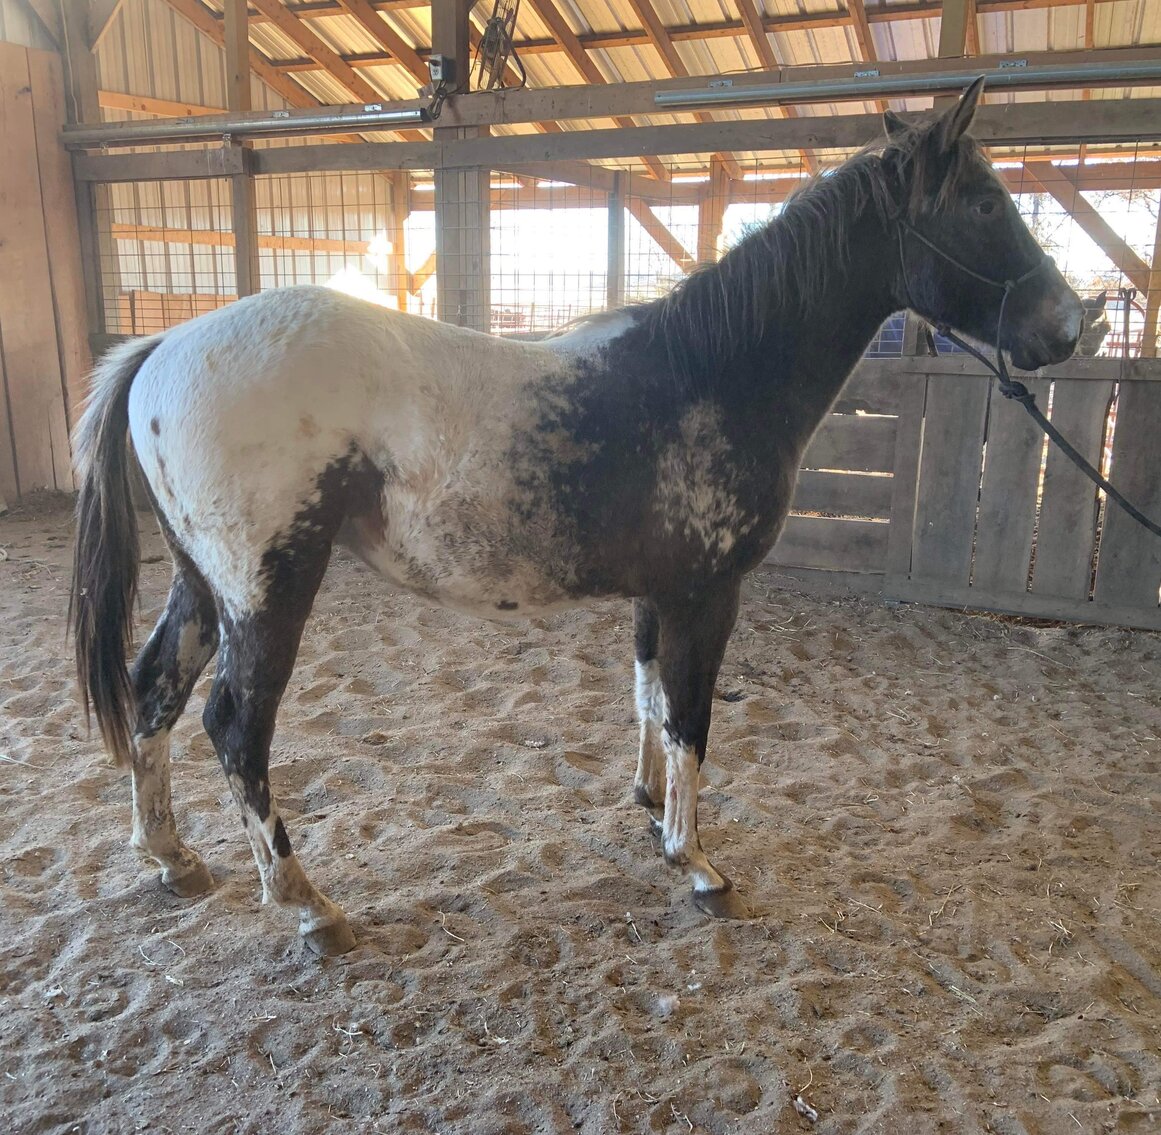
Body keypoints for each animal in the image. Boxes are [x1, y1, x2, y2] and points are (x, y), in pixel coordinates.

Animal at [71, 80, 1083, 955]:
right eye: (984, 203)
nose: (1072, 327)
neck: (710, 371)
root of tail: (165, 345)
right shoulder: (706, 594)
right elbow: (691, 720)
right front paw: (697, 864)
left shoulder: (655, 596)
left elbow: (649, 698)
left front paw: (646, 805)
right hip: (265, 594)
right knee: (234, 729)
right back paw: (309, 905)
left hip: (203, 587)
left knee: (154, 691)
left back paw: (171, 858)